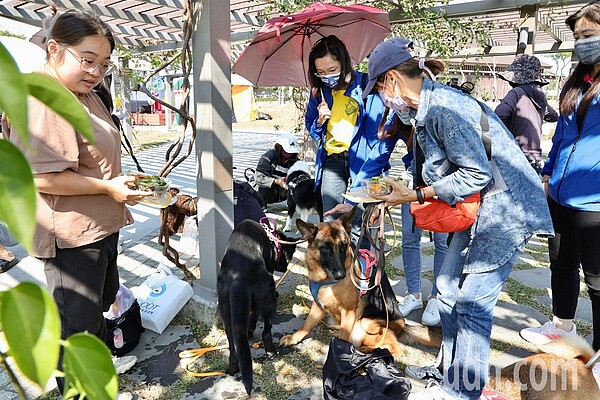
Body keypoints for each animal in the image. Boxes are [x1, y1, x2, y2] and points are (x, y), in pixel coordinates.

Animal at [218, 220, 298, 396]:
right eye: (288, 256)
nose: (284, 268)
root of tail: (237, 277)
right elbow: (255, 316)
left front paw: (248, 331)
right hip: (268, 295)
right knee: (266, 331)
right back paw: (271, 349)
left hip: (226, 312)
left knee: (233, 346)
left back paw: (232, 368)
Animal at [280, 209, 440, 356]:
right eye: (325, 247)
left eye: (343, 245)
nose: (342, 275)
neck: (326, 281)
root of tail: (403, 326)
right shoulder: (318, 305)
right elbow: (306, 324)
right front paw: (293, 338)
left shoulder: (348, 312)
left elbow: (343, 338)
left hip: (363, 323)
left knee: (394, 348)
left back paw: (367, 350)